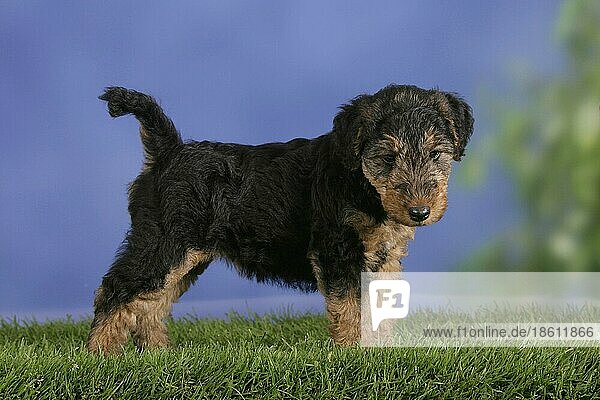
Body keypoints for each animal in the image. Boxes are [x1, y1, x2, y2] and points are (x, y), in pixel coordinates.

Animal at [88, 84, 474, 354]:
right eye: (388, 157)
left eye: (435, 154)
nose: (420, 212)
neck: (361, 184)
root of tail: (167, 151)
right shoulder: (337, 250)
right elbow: (350, 308)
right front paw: (354, 353)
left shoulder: (384, 258)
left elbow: (379, 307)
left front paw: (382, 350)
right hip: (163, 244)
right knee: (116, 289)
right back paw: (101, 354)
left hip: (187, 257)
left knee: (152, 303)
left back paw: (158, 354)